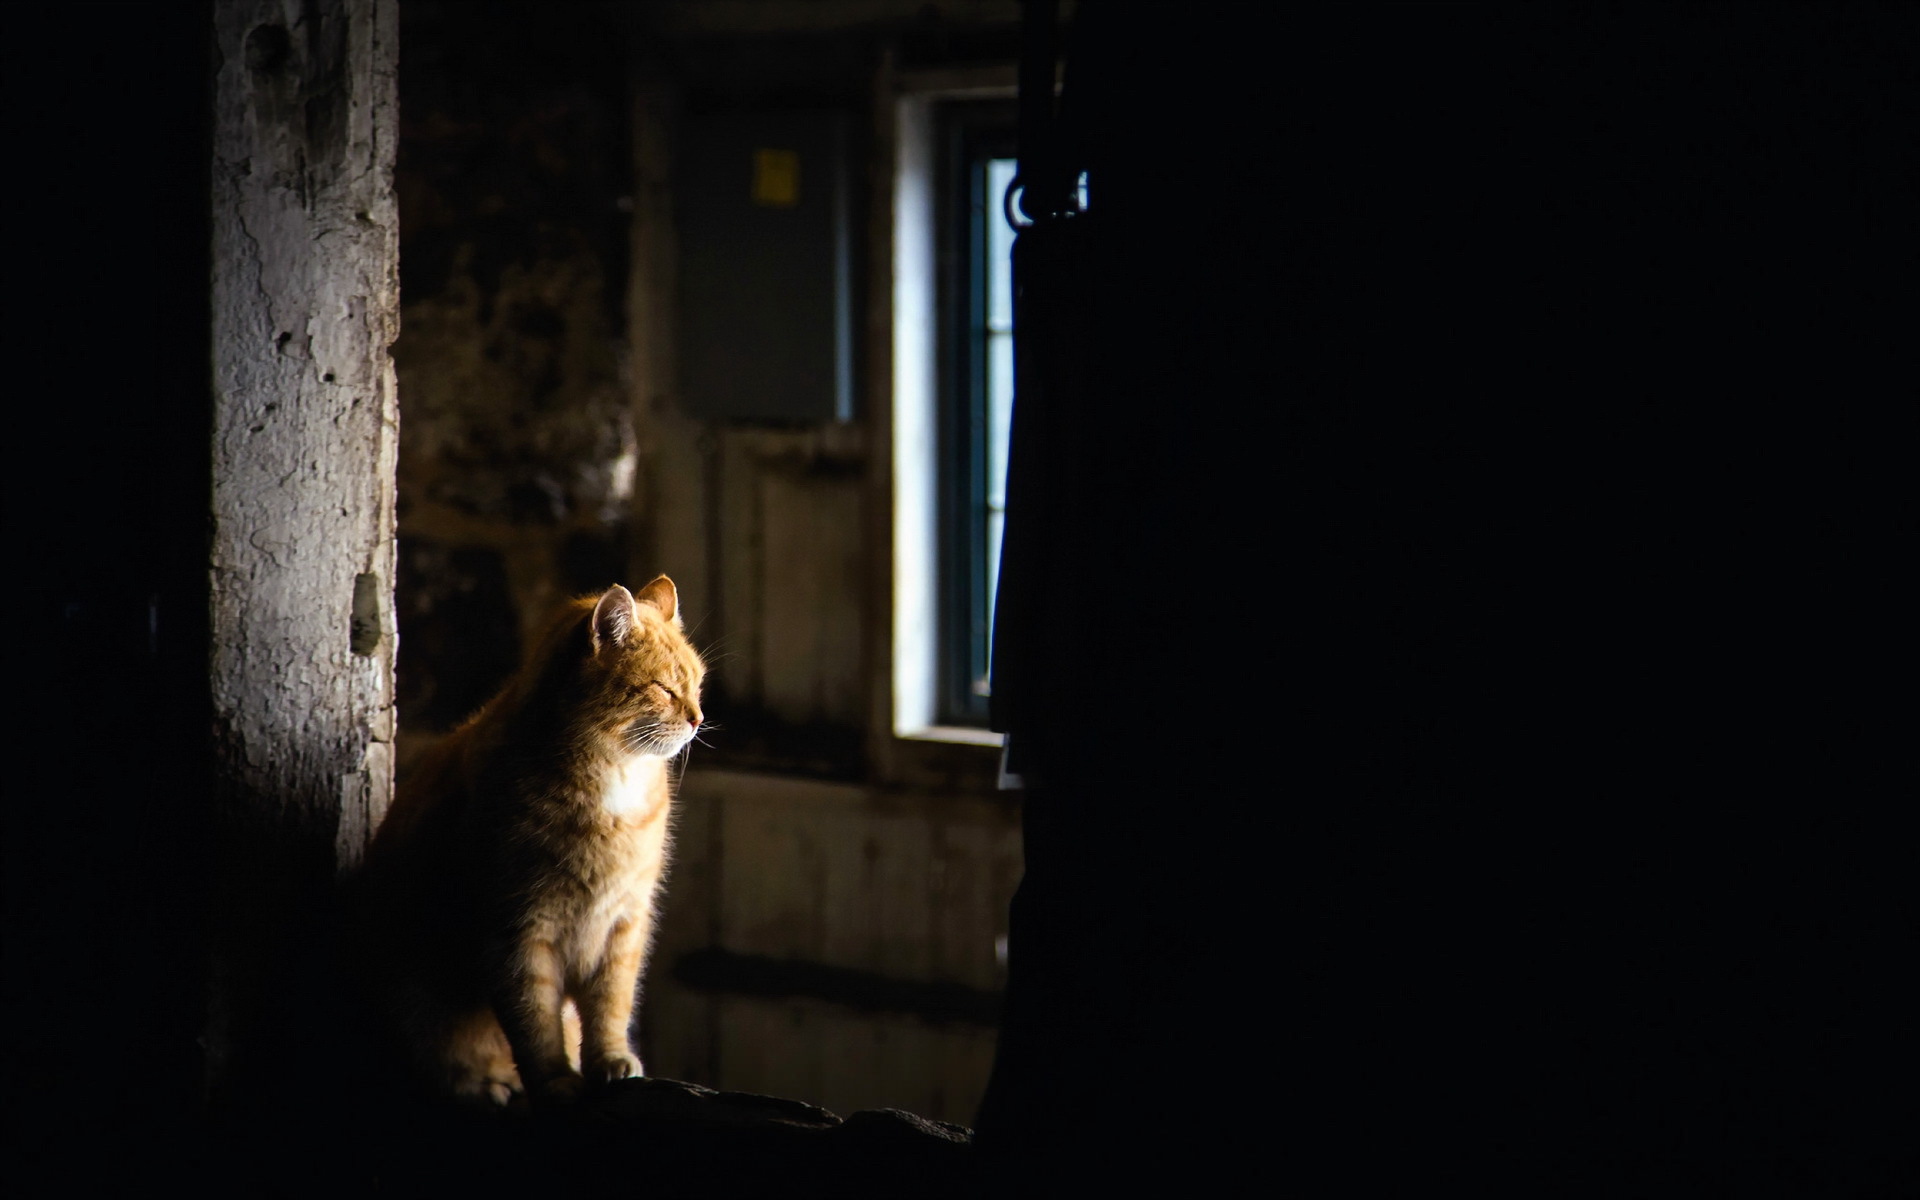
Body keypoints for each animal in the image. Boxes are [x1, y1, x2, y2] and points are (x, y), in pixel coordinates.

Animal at [359, 576, 706, 1105]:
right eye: (664, 690)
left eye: (698, 685)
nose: (698, 718)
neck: (613, 783)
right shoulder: (518, 930)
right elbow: (535, 1021)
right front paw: (555, 1081)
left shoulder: (624, 925)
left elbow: (610, 1005)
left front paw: (609, 1060)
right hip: (411, 993)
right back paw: (486, 1085)